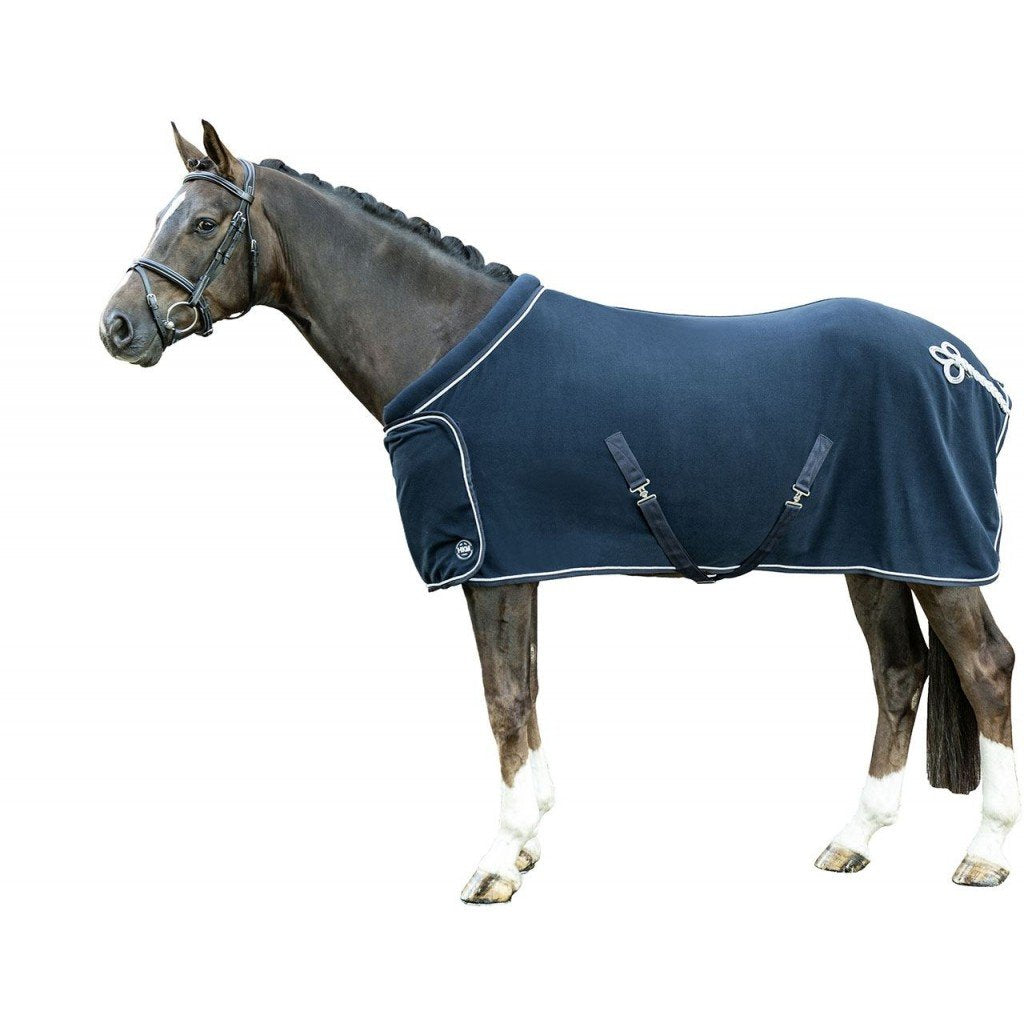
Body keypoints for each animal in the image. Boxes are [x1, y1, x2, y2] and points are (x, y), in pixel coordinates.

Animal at [99, 121, 1018, 901]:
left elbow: (502, 697)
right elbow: (529, 688)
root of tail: (964, 364)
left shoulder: (485, 562)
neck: (443, 340)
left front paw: (496, 862)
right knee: (898, 672)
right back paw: (853, 839)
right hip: (876, 556)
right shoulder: (520, 562)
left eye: (204, 222)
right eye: (160, 216)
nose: (117, 327)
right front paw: (531, 840)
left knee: (984, 667)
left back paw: (983, 855)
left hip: (938, 556)